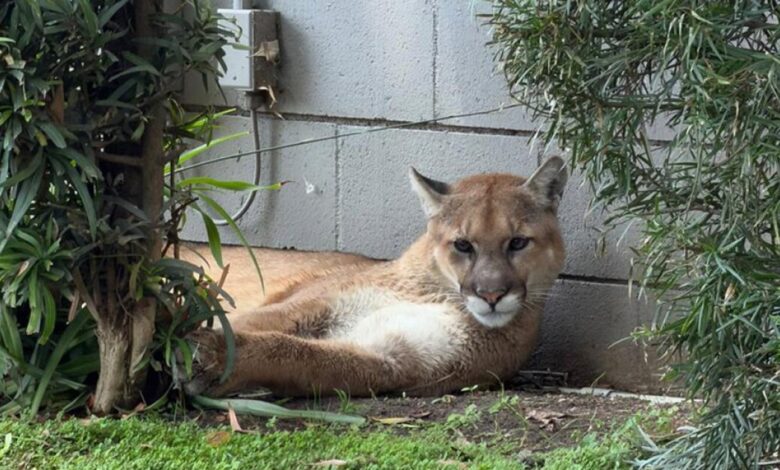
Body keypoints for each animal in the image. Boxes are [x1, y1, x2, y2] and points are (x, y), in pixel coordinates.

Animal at [177, 156, 567, 398]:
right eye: (463, 245)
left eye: (517, 242)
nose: (491, 294)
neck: (438, 295)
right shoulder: (308, 306)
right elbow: (252, 323)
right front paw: (193, 347)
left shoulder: (393, 359)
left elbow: (298, 353)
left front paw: (212, 358)